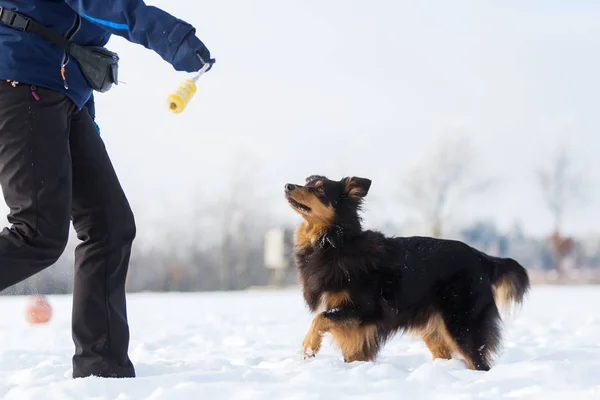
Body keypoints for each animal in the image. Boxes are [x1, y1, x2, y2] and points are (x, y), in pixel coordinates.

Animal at [286, 175, 528, 372]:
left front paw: (308, 347)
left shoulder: (365, 310)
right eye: (307, 181)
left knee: (478, 362)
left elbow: (321, 317)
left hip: (462, 323)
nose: (288, 186)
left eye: (319, 189)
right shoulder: (355, 327)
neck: (334, 243)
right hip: (435, 330)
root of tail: (483, 258)